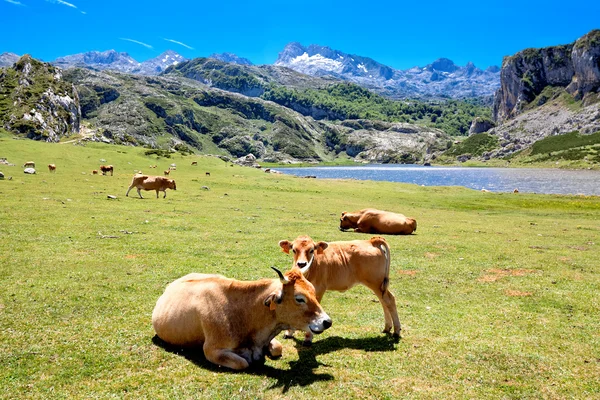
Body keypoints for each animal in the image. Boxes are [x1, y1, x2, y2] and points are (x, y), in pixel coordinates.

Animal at [151, 268, 332, 370]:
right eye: (299, 298)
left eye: (313, 290)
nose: (327, 321)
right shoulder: (211, 350)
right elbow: (243, 363)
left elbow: (277, 348)